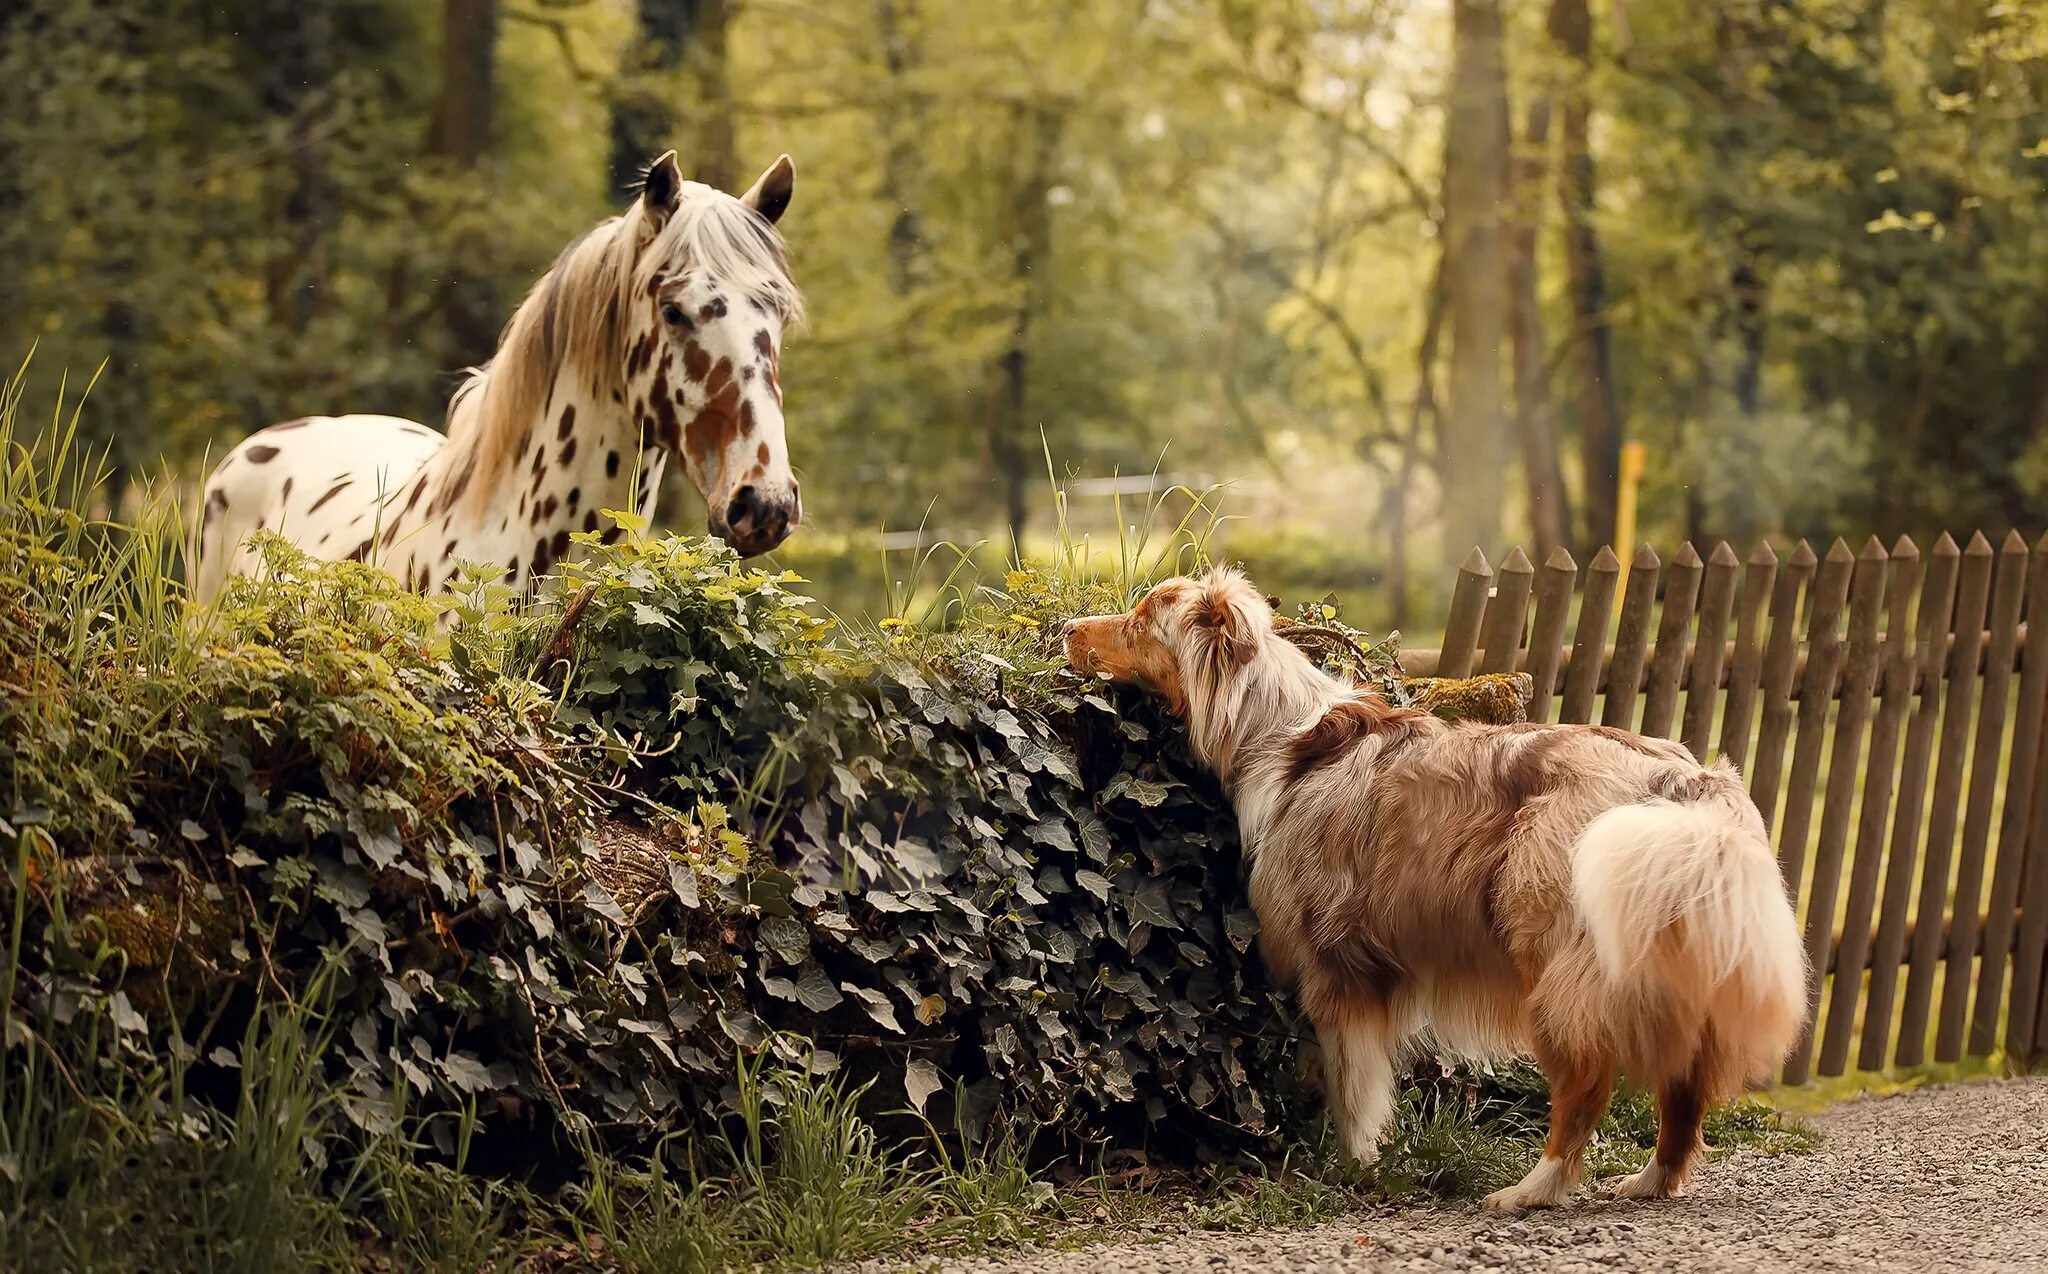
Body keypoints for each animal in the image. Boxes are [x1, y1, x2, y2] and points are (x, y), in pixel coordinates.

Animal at [1064, 573, 1802, 1212]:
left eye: (1140, 622)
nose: (1067, 627)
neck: (1275, 733)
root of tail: (1686, 781)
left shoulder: (1339, 967)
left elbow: (1353, 1088)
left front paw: (1355, 1168)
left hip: (1552, 959)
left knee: (1586, 1082)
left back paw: (1531, 1191)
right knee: (1684, 1086)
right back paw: (1652, 1180)